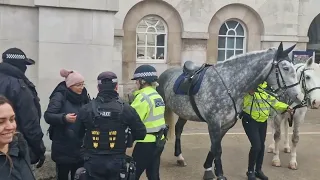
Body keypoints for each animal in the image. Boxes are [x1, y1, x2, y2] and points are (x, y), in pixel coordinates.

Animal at [156, 42, 304, 180]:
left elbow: (214, 147)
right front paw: (219, 174)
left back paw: (179, 157)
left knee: (178, 129)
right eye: (285, 68)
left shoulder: (226, 125)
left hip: (184, 113)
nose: (299, 96)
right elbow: (217, 149)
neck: (229, 84)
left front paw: (208, 169)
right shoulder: (214, 123)